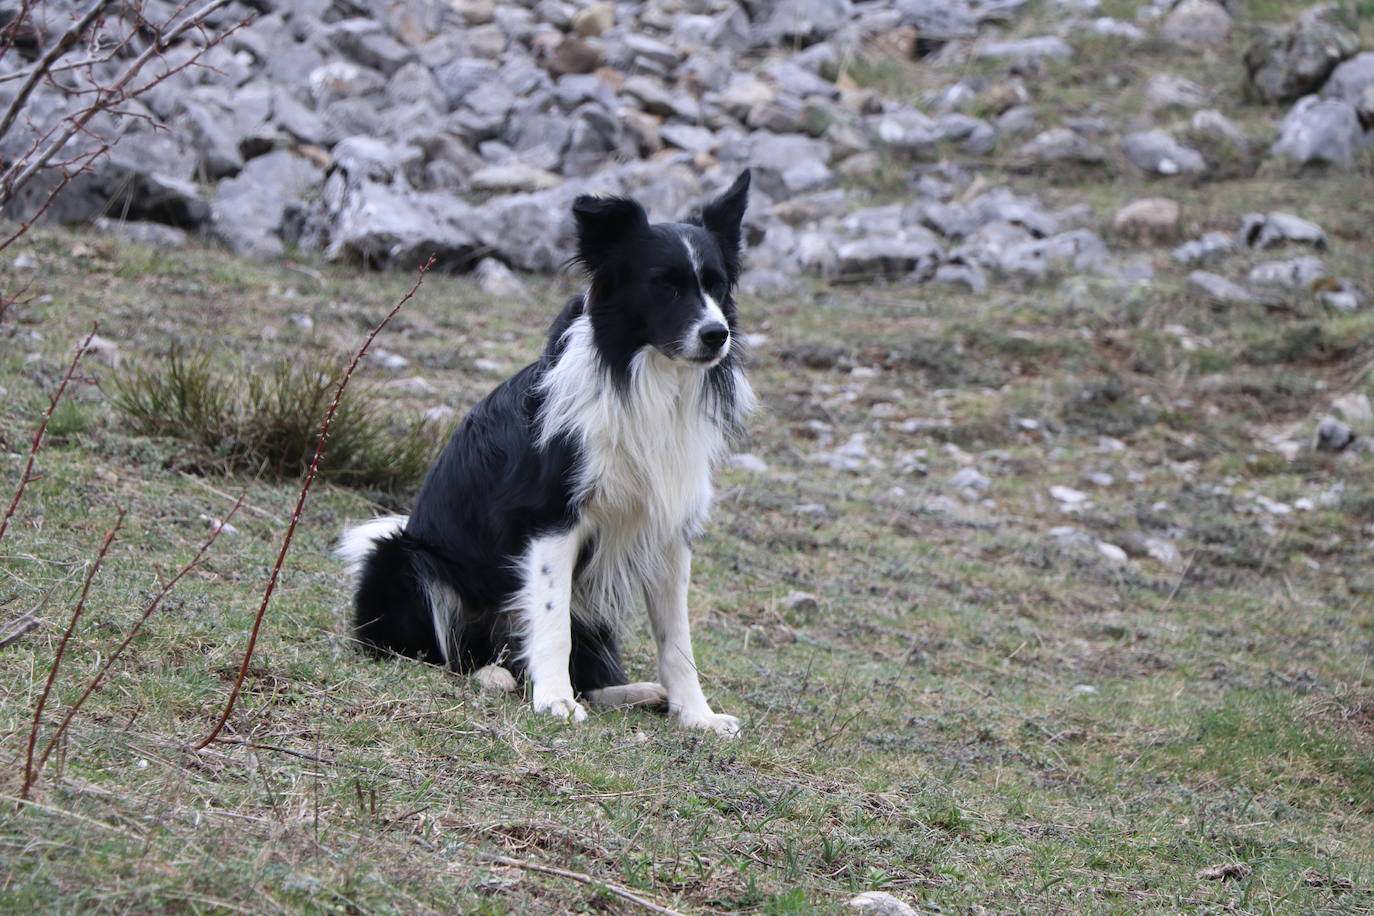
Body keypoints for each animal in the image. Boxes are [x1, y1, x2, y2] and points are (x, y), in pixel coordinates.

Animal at [339, 170, 758, 736]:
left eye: (716, 286)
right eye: (666, 284)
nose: (717, 335)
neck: (644, 376)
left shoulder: (669, 529)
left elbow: (678, 639)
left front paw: (696, 715)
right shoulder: (551, 518)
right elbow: (553, 620)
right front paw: (555, 702)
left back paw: (634, 692)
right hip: (403, 556)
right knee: (440, 652)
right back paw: (494, 675)